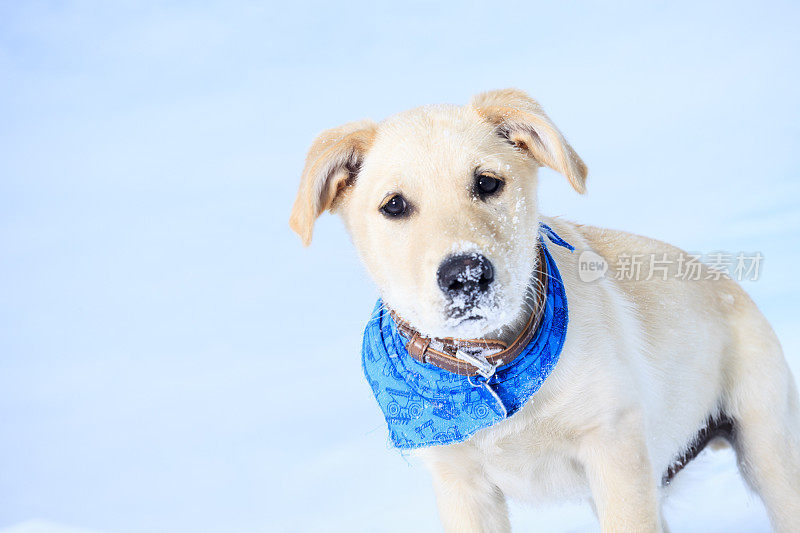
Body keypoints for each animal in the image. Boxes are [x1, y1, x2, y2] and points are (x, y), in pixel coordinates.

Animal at [288, 89, 800, 528]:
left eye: (487, 183)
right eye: (394, 205)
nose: (466, 275)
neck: (491, 369)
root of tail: (729, 284)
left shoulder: (615, 450)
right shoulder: (462, 485)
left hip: (769, 452)